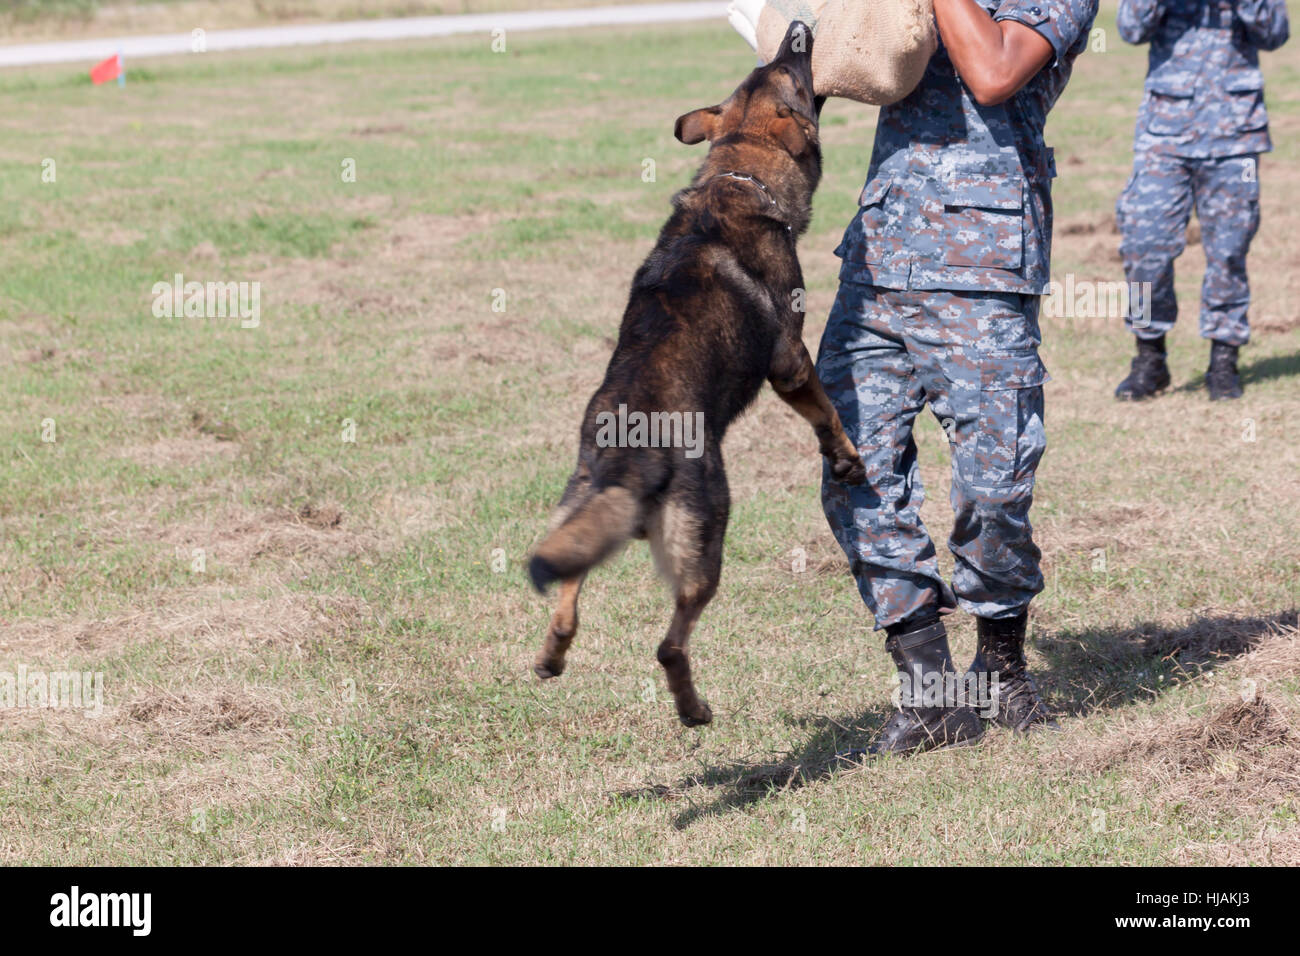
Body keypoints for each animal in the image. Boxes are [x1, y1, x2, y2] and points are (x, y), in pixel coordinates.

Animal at [527, 20, 863, 723]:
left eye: (770, 67)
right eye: (791, 71)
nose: (799, 27)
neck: (736, 173)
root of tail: (632, 453)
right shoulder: (791, 363)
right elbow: (827, 412)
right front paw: (848, 458)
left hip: (577, 515)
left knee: (567, 605)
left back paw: (551, 659)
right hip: (706, 543)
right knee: (669, 645)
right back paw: (694, 709)